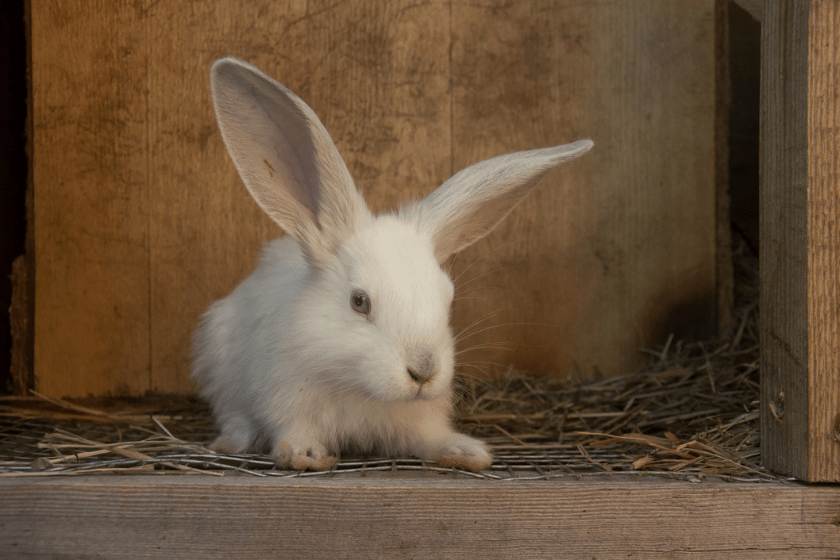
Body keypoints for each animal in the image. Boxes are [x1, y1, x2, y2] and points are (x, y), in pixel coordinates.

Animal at [192, 57, 593, 472]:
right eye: (359, 302)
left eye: (448, 300)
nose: (424, 371)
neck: (358, 385)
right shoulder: (286, 400)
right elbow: (295, 432)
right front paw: (306, 456)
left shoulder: (420, 419)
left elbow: (429, 439)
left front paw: (467, 452)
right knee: (234, 416)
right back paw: (231, 442)